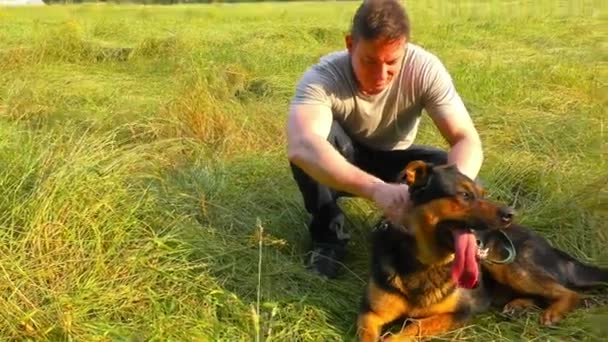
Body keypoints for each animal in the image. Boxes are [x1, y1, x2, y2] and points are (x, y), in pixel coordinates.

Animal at [356, 161, 608, 342]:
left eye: (482, 193)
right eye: (465, 195)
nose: (511, 214)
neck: (426, 263)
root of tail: (552, 248)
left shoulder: (459, 312)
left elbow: (416, 326)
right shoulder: (370, 313)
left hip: (510, 267)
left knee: (569, 293)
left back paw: (552, 312)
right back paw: (518, 306)